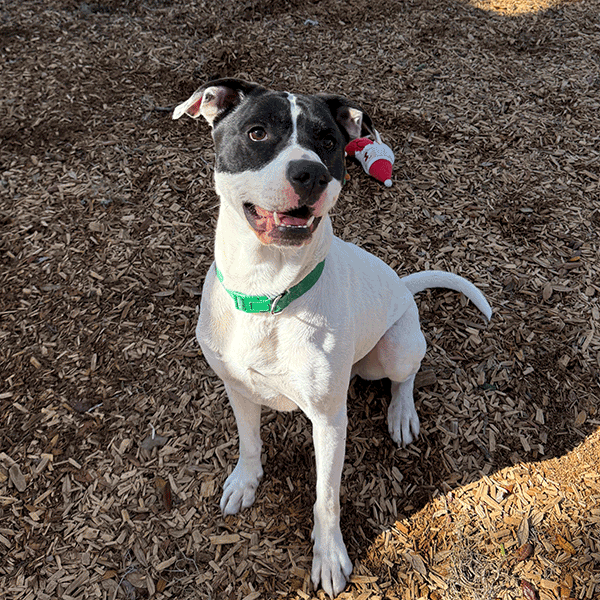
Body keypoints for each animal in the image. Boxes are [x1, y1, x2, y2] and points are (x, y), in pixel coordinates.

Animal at [173, 78, 492, 596]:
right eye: (257, 132)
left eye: (327, 141)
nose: (310, 174)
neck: (268, 292)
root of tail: (402, 286)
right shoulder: (237, 387)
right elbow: (249, 441)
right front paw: (245, 481)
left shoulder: (328, 421)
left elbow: (326, 497)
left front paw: (328, 557)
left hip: (396, 348)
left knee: (406, 377)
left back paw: (401, 414)